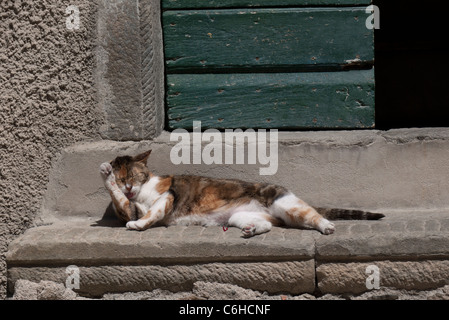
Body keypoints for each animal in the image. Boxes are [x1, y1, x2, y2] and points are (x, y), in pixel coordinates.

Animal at [100, 150, 384, 238]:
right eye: (123, 179)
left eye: (132, 176)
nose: (128, 186)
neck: (140, 194)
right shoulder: (129, 207)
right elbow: (122, 203)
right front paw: (108, 175)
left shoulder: (166, 196)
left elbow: (150, 213)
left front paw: (138, 224)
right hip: (239, 217)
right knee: (268, 226)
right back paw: (252, 230)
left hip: (287, 205)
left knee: (314, 215)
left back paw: (327, 226)